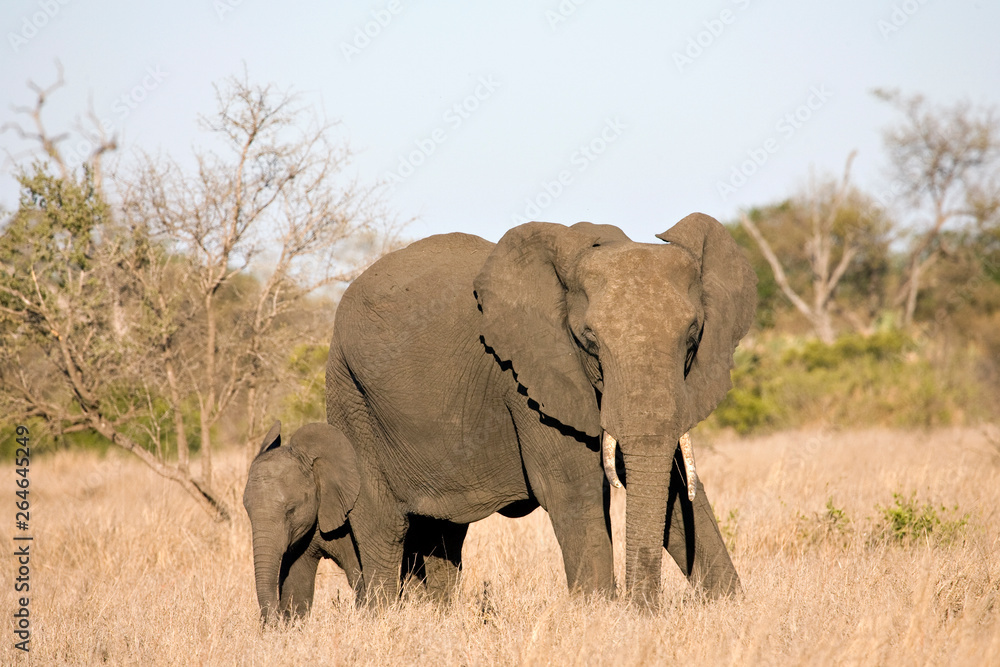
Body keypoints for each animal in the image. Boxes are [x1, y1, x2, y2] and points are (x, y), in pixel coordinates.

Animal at [324, 213, 752, 604]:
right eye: (590, 340)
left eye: (693, 336)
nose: (641, 606)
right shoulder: (526, 376)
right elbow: (574, 489)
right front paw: (600, 614)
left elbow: (678, 488)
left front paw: (729, 606)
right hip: (350, 395)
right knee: (384, 525)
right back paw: (383, 615)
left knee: (441, 531)